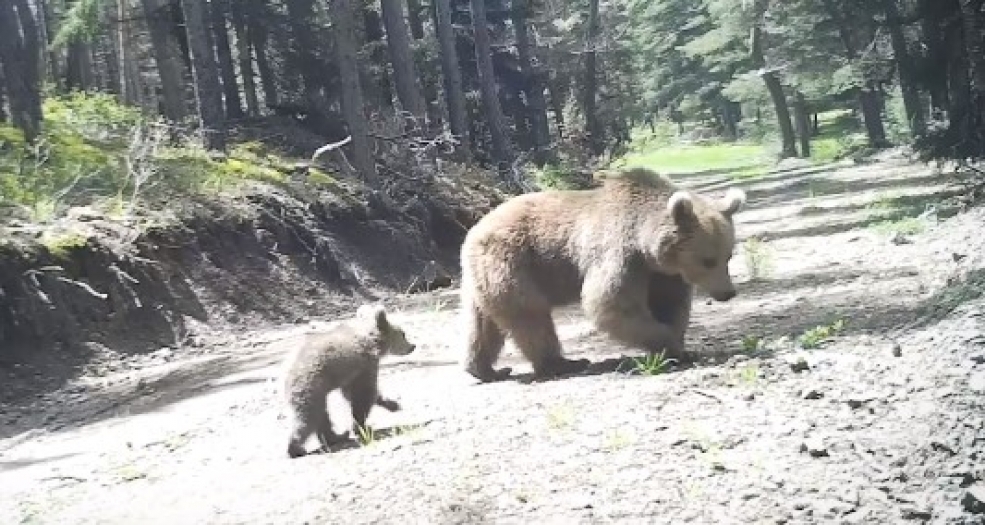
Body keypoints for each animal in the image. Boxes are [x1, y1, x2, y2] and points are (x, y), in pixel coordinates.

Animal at [462, 167, 744, 380]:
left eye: (728, 256)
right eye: (708, 260)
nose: (728, 293)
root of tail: (475, 229)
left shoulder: (662, 274)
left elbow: (669, 305)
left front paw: (678, 345)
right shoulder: (621, 255)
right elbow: (611, 303)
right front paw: (672, 348)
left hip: (483, 279)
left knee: (482, 324)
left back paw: (484, 369)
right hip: (513, 263)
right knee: (530, 316)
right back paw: (562, 363)